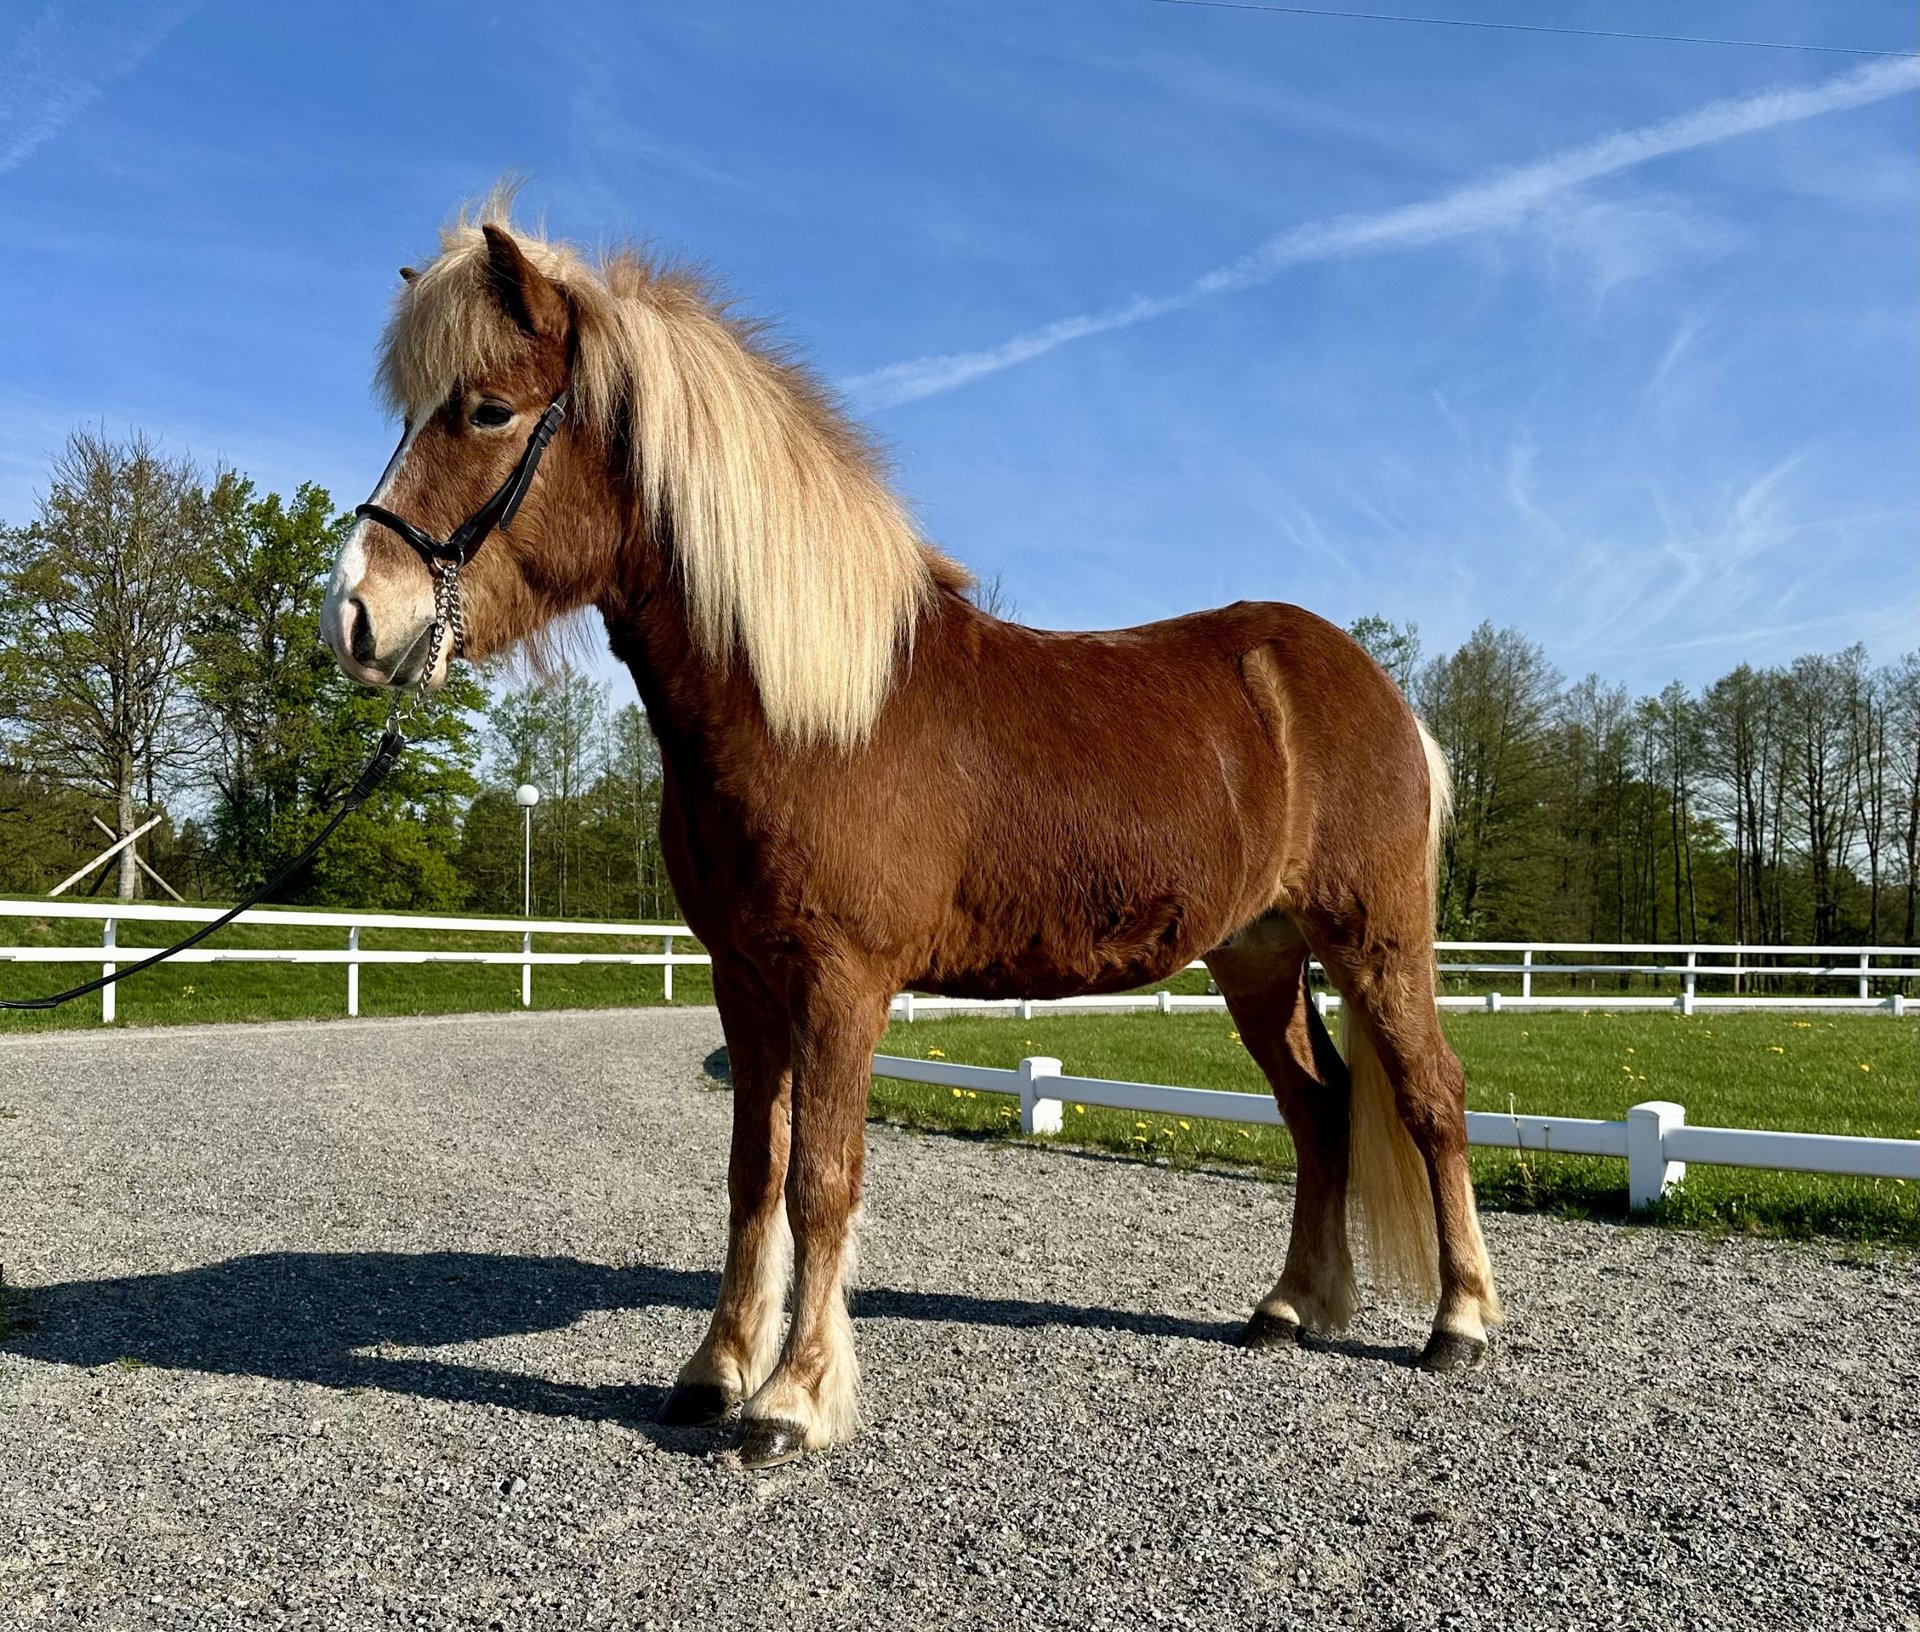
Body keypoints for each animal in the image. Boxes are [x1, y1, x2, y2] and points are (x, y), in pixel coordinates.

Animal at [322, 203, 1497, 1459]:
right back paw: (1289, 1309)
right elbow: (753, 1172)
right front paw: (714, 1371)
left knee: (1430, 1098)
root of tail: (1373, 690)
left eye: (489, 409)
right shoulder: (746, 980)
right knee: (1318, 1111)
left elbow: (823, 1178)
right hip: (1259, 956)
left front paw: (792, 1399)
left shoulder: (843, 981)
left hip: (1375, 941)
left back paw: (1460, 1323)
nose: (356, 617)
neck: (808, 709)